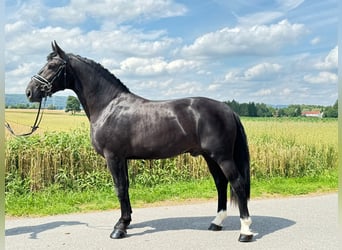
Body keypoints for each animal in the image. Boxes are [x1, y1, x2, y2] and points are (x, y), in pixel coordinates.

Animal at [25, 41, 252, 242]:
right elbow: (125, 187)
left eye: (52, 66)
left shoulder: (113, 157)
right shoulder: (122, 158)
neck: (109, 106)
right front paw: (125, 222)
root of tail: (228, 109)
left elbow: (119, 188)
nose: (30, 91)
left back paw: (245, 232)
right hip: (209, 157)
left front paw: (119, 228)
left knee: (237, 184)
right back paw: (216, 223)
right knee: (221, 183)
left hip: (222, 156)